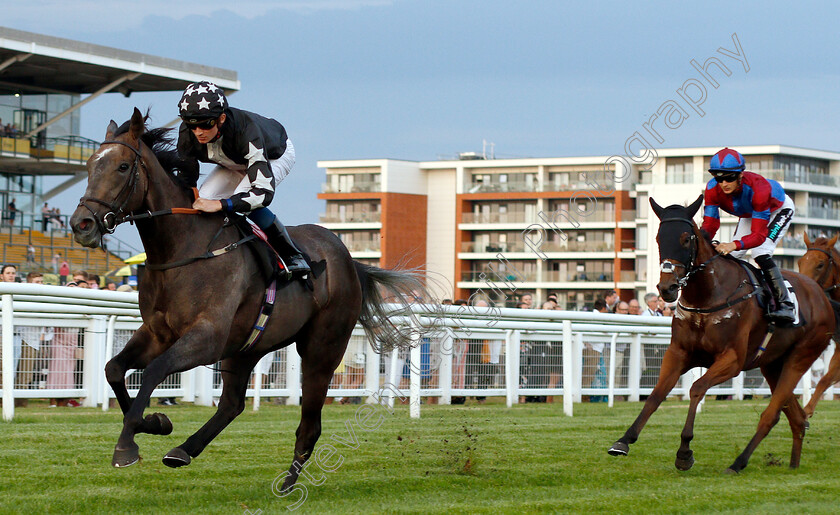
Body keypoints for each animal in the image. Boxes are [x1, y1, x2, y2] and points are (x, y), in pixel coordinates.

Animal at [69, 110, 430, 492]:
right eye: (91, 165)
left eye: (123, 167)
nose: (82, 224)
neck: (183, 249)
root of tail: (349, 260)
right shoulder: (157, 332)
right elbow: (114, 369)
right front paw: (154, 422)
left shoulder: (207, 338)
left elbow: (152, 370)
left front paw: (126, 446)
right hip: (247, 346)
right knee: (231, 404)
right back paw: (182, 451)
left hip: (322, 349)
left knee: (309, 423)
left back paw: (288, 483)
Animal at [612, 196, 832, 474]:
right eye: (658, 238)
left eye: (686, 238)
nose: (667, 288)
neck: (707, 295)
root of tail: (822, 297)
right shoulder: (678, 353)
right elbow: (656, 394)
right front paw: (623, 440)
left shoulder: (732, 360)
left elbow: (696, 388)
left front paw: (684, 451)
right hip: (772, 365)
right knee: (796, 416)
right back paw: (792, 465)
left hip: (801, 356)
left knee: (771, 415)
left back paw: (738, 462)